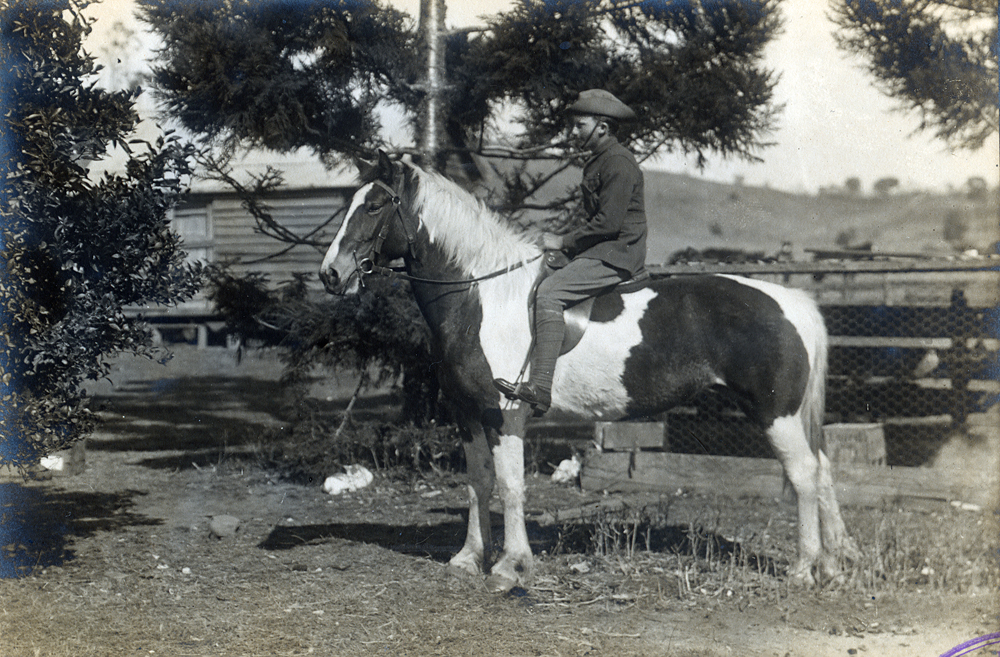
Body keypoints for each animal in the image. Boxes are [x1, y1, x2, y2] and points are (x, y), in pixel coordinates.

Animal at [319, 151, 858, 591]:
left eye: (374, 206)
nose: (330, 274)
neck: (482, 295)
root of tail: (791, 301)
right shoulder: (467, 413)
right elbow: (479, 483)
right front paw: (469, 558)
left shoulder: (504, 414)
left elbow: (511, 486)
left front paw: (511, 566)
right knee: (824, 471)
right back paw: (832, 567)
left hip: (775, 414)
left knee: (804, 475)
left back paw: (803, 569)